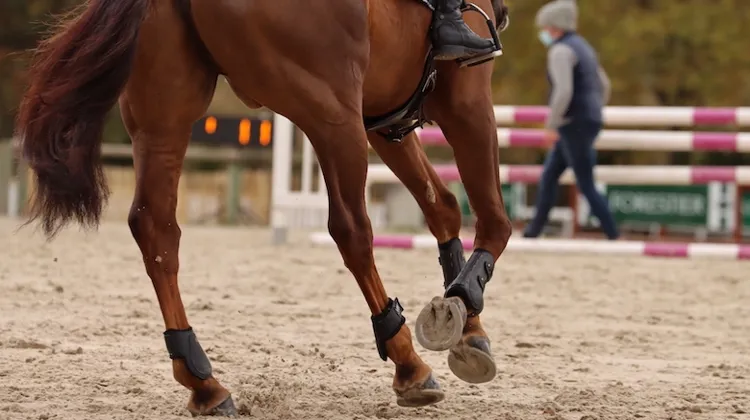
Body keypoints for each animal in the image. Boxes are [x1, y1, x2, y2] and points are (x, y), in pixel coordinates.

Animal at [15, 0, 512, 415]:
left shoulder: (384, 116)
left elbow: (442, 206)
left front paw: (470, 329)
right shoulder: (465, 97)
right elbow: (493, 219)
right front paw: (464, 301)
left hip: (165, 119)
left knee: (156, 229)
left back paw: (203, 382)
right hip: (332, 113)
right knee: (351, 230)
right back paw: (407, 362)